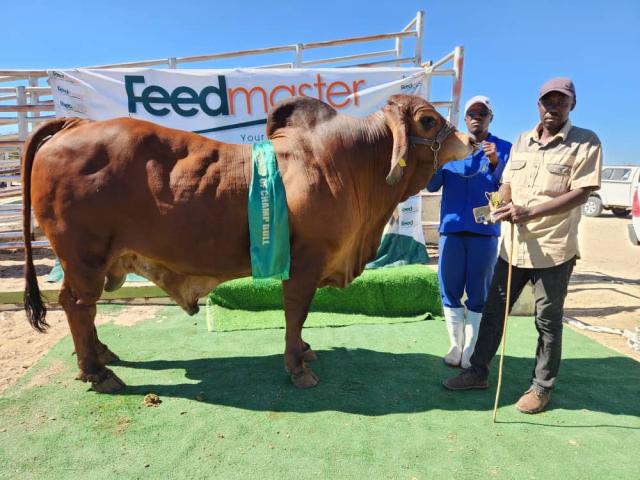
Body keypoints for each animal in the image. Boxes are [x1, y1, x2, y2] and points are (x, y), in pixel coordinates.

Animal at [22, 94, 474, 392]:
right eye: (428, 120)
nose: (471, 141)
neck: (350, 165)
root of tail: (76, 125)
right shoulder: (305, 261)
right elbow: (296, 311)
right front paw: (297, 366)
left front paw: (304, 350)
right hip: (84, 256)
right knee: (78, 305)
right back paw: (98, 373)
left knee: (80, 306)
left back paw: (101, 355)